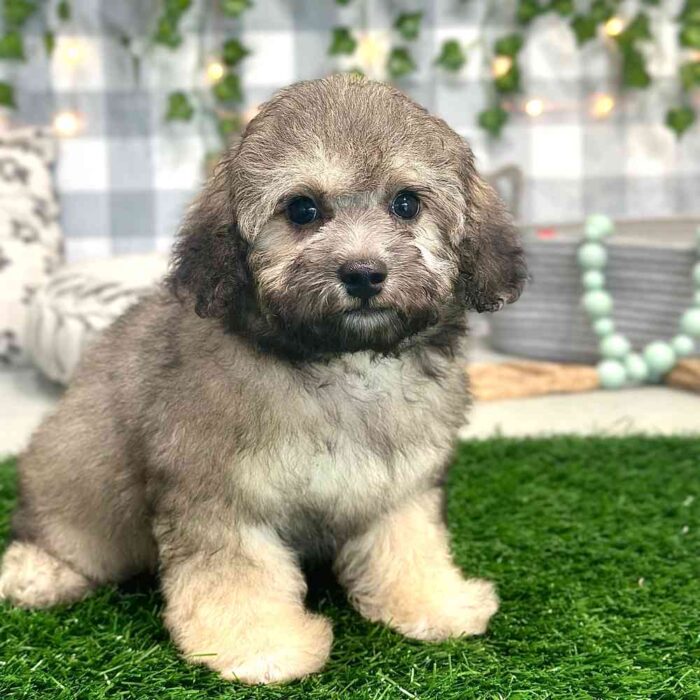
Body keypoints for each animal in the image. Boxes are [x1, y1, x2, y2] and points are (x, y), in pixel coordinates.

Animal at [0, 76, 524, 684]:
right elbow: (238, 574)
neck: (337, 362)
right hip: (75, 474)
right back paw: (38, 572)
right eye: (302, 209)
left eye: (406, 203)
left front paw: (434, 602)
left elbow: (409, 543)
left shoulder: (401, 484)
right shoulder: (218, 497)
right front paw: (259, 647)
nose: (364, 274)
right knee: (58, 530)